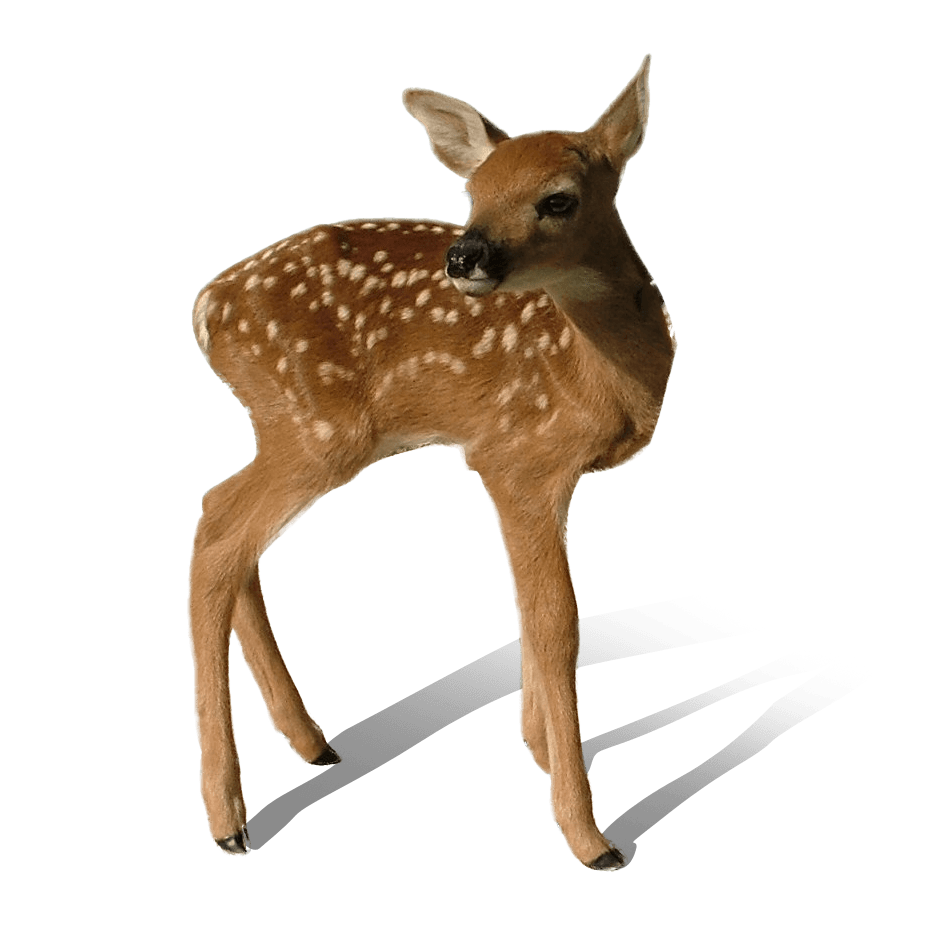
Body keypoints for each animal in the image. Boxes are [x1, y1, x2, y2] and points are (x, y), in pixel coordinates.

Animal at [189, 53, 676, 871]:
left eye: (557, 199)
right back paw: (229, 820)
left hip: (285, 429)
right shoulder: (518, 458)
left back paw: (312, 743)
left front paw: (537, 748)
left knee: (225, 526)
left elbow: (527, 606)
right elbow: (557, 621)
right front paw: (588, 834)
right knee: (218, 537)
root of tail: (205, 309)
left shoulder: (532, 472)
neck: (600, 369)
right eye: (470, 193)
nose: (465, 254)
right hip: (318, 430)